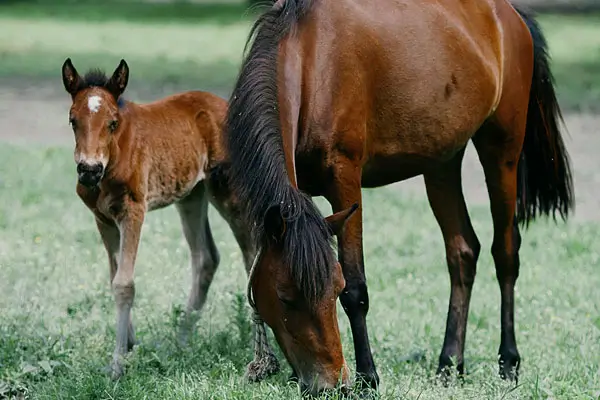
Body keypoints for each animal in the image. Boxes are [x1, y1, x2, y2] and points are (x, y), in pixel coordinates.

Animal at [59, 57, 280, 380]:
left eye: (112, 123)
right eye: (73, 120)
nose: (88, 170)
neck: (114, 158)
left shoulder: (133, 211)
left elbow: (124, 284)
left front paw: (118, 364)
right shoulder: (103, 219)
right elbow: (114, 277)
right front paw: (129, 346)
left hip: (229, 194)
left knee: (250, 256)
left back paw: (259, 353)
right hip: (192, 196)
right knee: (206, 258)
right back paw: (181, 341)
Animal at [224, 0, 572, 394]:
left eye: (334, 288)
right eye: (284, 297)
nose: (330, 384)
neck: (311, 61)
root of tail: (510, 16)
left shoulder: (345, 178)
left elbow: (357, 288)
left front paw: (368, 378)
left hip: (502, 152)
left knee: (506, 252)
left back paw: (509, 362)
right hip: (441, 164)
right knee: (463, 252)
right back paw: (449, 364)